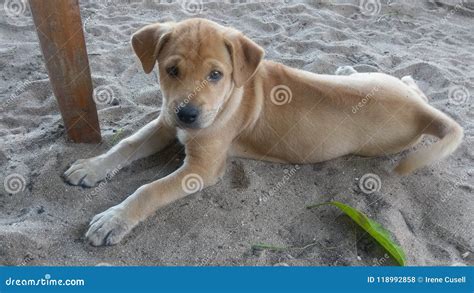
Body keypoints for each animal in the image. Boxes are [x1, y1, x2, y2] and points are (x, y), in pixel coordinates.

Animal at [62, 18, 462, 245]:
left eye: (216, 75)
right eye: (171, 70)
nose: (187, 115)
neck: (231, 95)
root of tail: (422, 112)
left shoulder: (201, 169)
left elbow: (149, 189)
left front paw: (114, 219)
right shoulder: (165, 123)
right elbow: (126, 145)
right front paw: (91, 168)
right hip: (379, 80)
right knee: (411, 83)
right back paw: (354, 70)